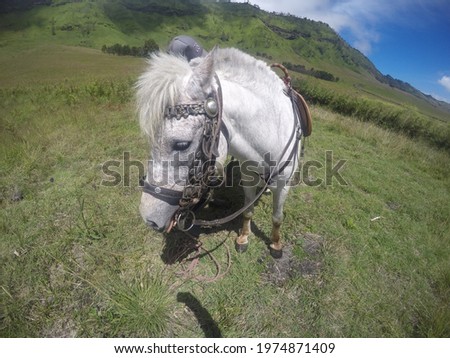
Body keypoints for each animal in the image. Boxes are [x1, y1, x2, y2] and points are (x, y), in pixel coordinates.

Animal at [137, 46, 306, 258]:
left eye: (182, 144)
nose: (148, 219)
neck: (272, 133)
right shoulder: (248, 177)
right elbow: (248, 210)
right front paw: (244, 238)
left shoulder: (284, 185)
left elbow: (277, 216)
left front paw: (276, 245)